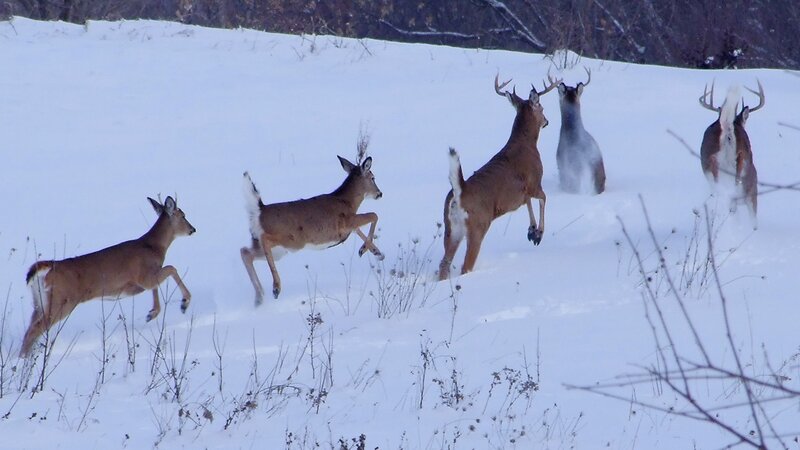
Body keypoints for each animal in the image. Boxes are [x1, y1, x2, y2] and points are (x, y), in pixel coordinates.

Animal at [21, 196, 196, 357]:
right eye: (183, 215)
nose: (193, 229)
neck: (154, 247)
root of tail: (46, 267)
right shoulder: (143, 276)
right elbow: (171, 269)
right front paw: (184, 303)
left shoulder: (147, 278)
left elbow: (157, 285)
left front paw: (151, 313)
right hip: (62, 301)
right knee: (35, 329)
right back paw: (25, 360)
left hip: (39, 302)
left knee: (29, 328)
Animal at [240, 140, 383, 304]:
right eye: (373, 177)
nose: (380, 193)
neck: (347, 202)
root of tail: (259, 210)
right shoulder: (345, 222)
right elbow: (373, 215)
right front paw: (364, 250)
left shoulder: (347, 227)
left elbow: (360, 228)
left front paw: (377, 252)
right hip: (290, 239)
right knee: (263, 241)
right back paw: (275, 288)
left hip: (274, 248)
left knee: (246, 252)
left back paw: (259, 297)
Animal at [438, 72, 559, 281]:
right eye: (541, 107)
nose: (547, 121)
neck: (526, 144)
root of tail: (459, 191)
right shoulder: (535, 182)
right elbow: (543, 198)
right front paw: (538, 234)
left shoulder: (522, 193)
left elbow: (528, 203)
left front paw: (531, 231)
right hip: (478, 225)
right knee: (465, 266)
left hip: (450, 229)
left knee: (443, 264)